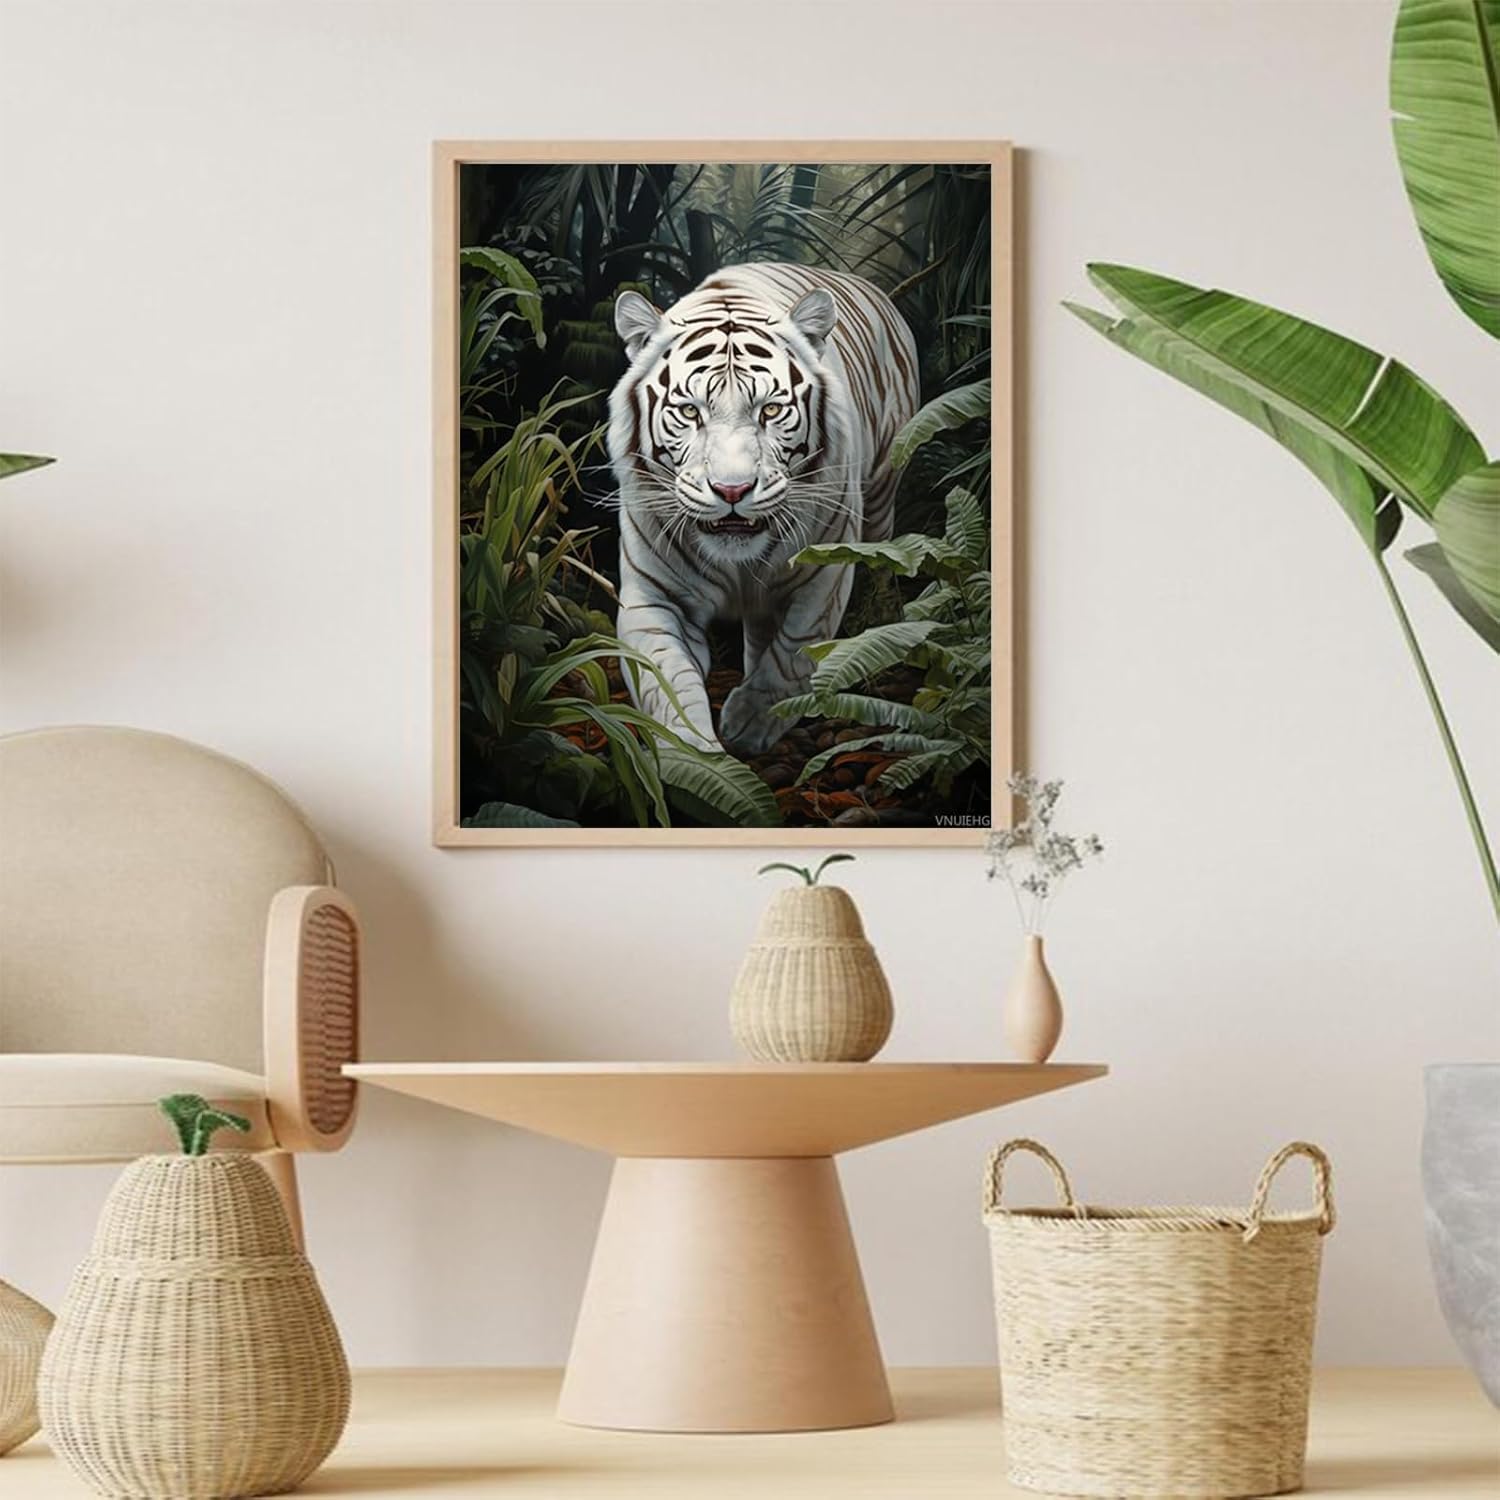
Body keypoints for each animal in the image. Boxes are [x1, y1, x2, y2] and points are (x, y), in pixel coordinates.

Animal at [606, 262, 920, 756]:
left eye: (770, 411)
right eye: (690, 412)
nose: (732, 490)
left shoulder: (823, 575)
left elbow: (794, 655)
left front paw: (750, 722)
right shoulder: (655, 595)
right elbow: (666, 683)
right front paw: (699, 758)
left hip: (884, 490)